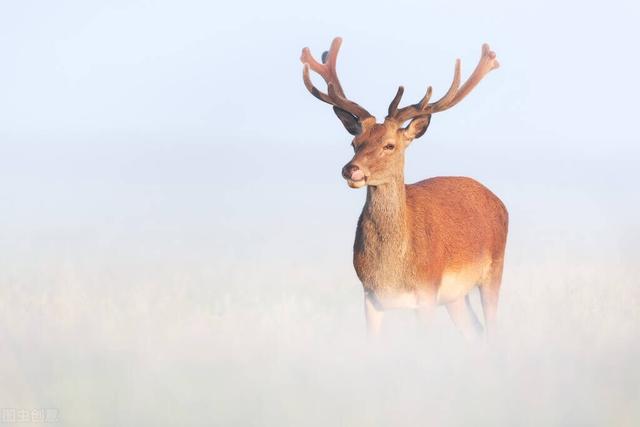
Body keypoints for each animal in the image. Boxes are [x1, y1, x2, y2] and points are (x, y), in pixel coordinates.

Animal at [302, 38, 510, 342]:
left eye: (389, 145)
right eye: (354, 143)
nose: (351, 170)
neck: (392, 271)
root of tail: (497, 200)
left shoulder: (427, 291)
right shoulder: (370, 296)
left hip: (494, 270)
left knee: (493, 330)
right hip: (456, 297)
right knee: (475, 331)